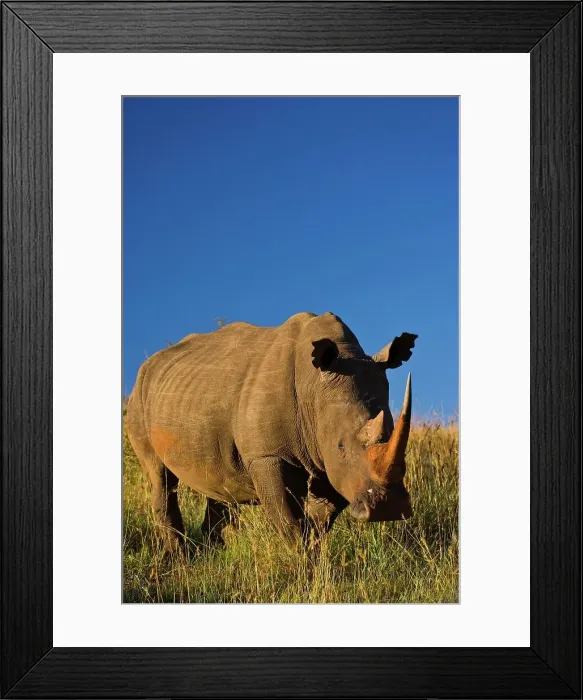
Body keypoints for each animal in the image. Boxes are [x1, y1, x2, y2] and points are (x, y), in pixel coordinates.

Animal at [126, 312, 417, 552]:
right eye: (341, 446)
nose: (390, 508)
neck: (314, 386)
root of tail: (147, 366)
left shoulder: (329, 459)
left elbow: (321, 518)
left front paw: (315, 556)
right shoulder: (269, 455)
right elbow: (289, 520)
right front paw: (303, 565)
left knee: (218, 484)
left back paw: (212, 555)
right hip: (138, 400)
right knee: (160, 477)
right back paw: (179, 558)